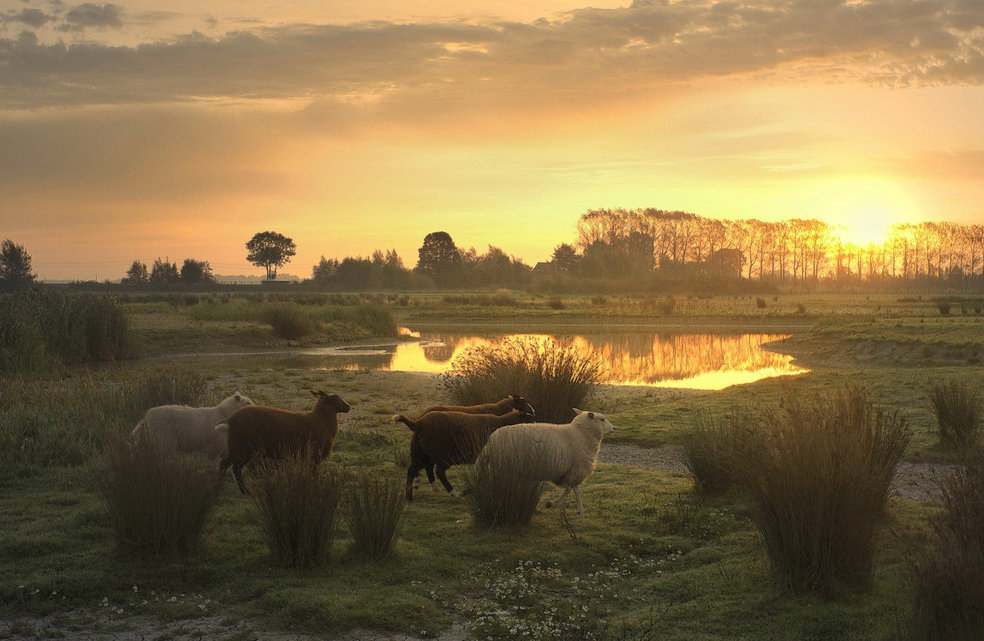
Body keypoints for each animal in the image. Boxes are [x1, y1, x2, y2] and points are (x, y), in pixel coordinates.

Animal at [472, 410, 612, 516]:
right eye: (602, 419)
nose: (614, 428)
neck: (581, 434)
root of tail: (489, 444)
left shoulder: (563, 473)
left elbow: (568, 489)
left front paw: (551, 503)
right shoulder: (577, 469)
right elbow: (575, 490)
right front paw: (580, 511)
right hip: (505, 469)